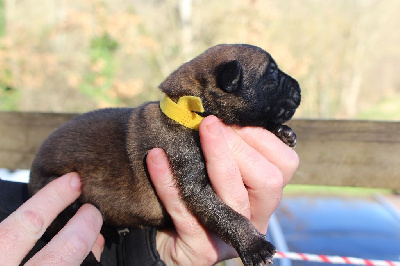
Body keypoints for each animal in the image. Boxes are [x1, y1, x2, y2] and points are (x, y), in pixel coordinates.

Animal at [28, 43, 300, 264]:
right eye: (272, 74)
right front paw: (253, 244)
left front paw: (282, 132)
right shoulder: (195, 186)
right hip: (58, 195)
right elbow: (228, 215)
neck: (190, 112)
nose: (298, 85)